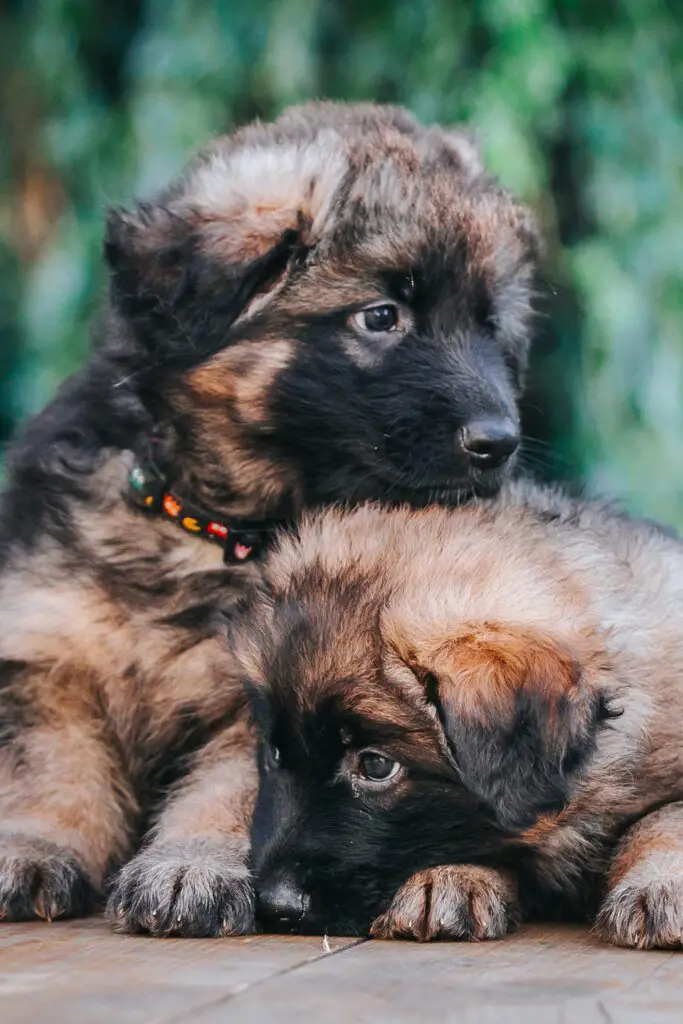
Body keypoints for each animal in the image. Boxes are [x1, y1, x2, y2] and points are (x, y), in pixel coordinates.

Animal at [0, 103, 540, 937]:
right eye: (380, 316)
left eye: (489, 326)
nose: (499, 442)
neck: (215, 530)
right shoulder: (51, 651)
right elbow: (48, 766)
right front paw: (33, 844)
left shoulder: (264, 691)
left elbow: (231, 790)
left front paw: (189, 865)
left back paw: (451, 881)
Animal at [231, 483, 683, 946]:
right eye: (275, 754)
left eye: (376, 765)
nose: (275, 906)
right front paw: (451, 878)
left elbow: (665, 818)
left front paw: (661, 886)